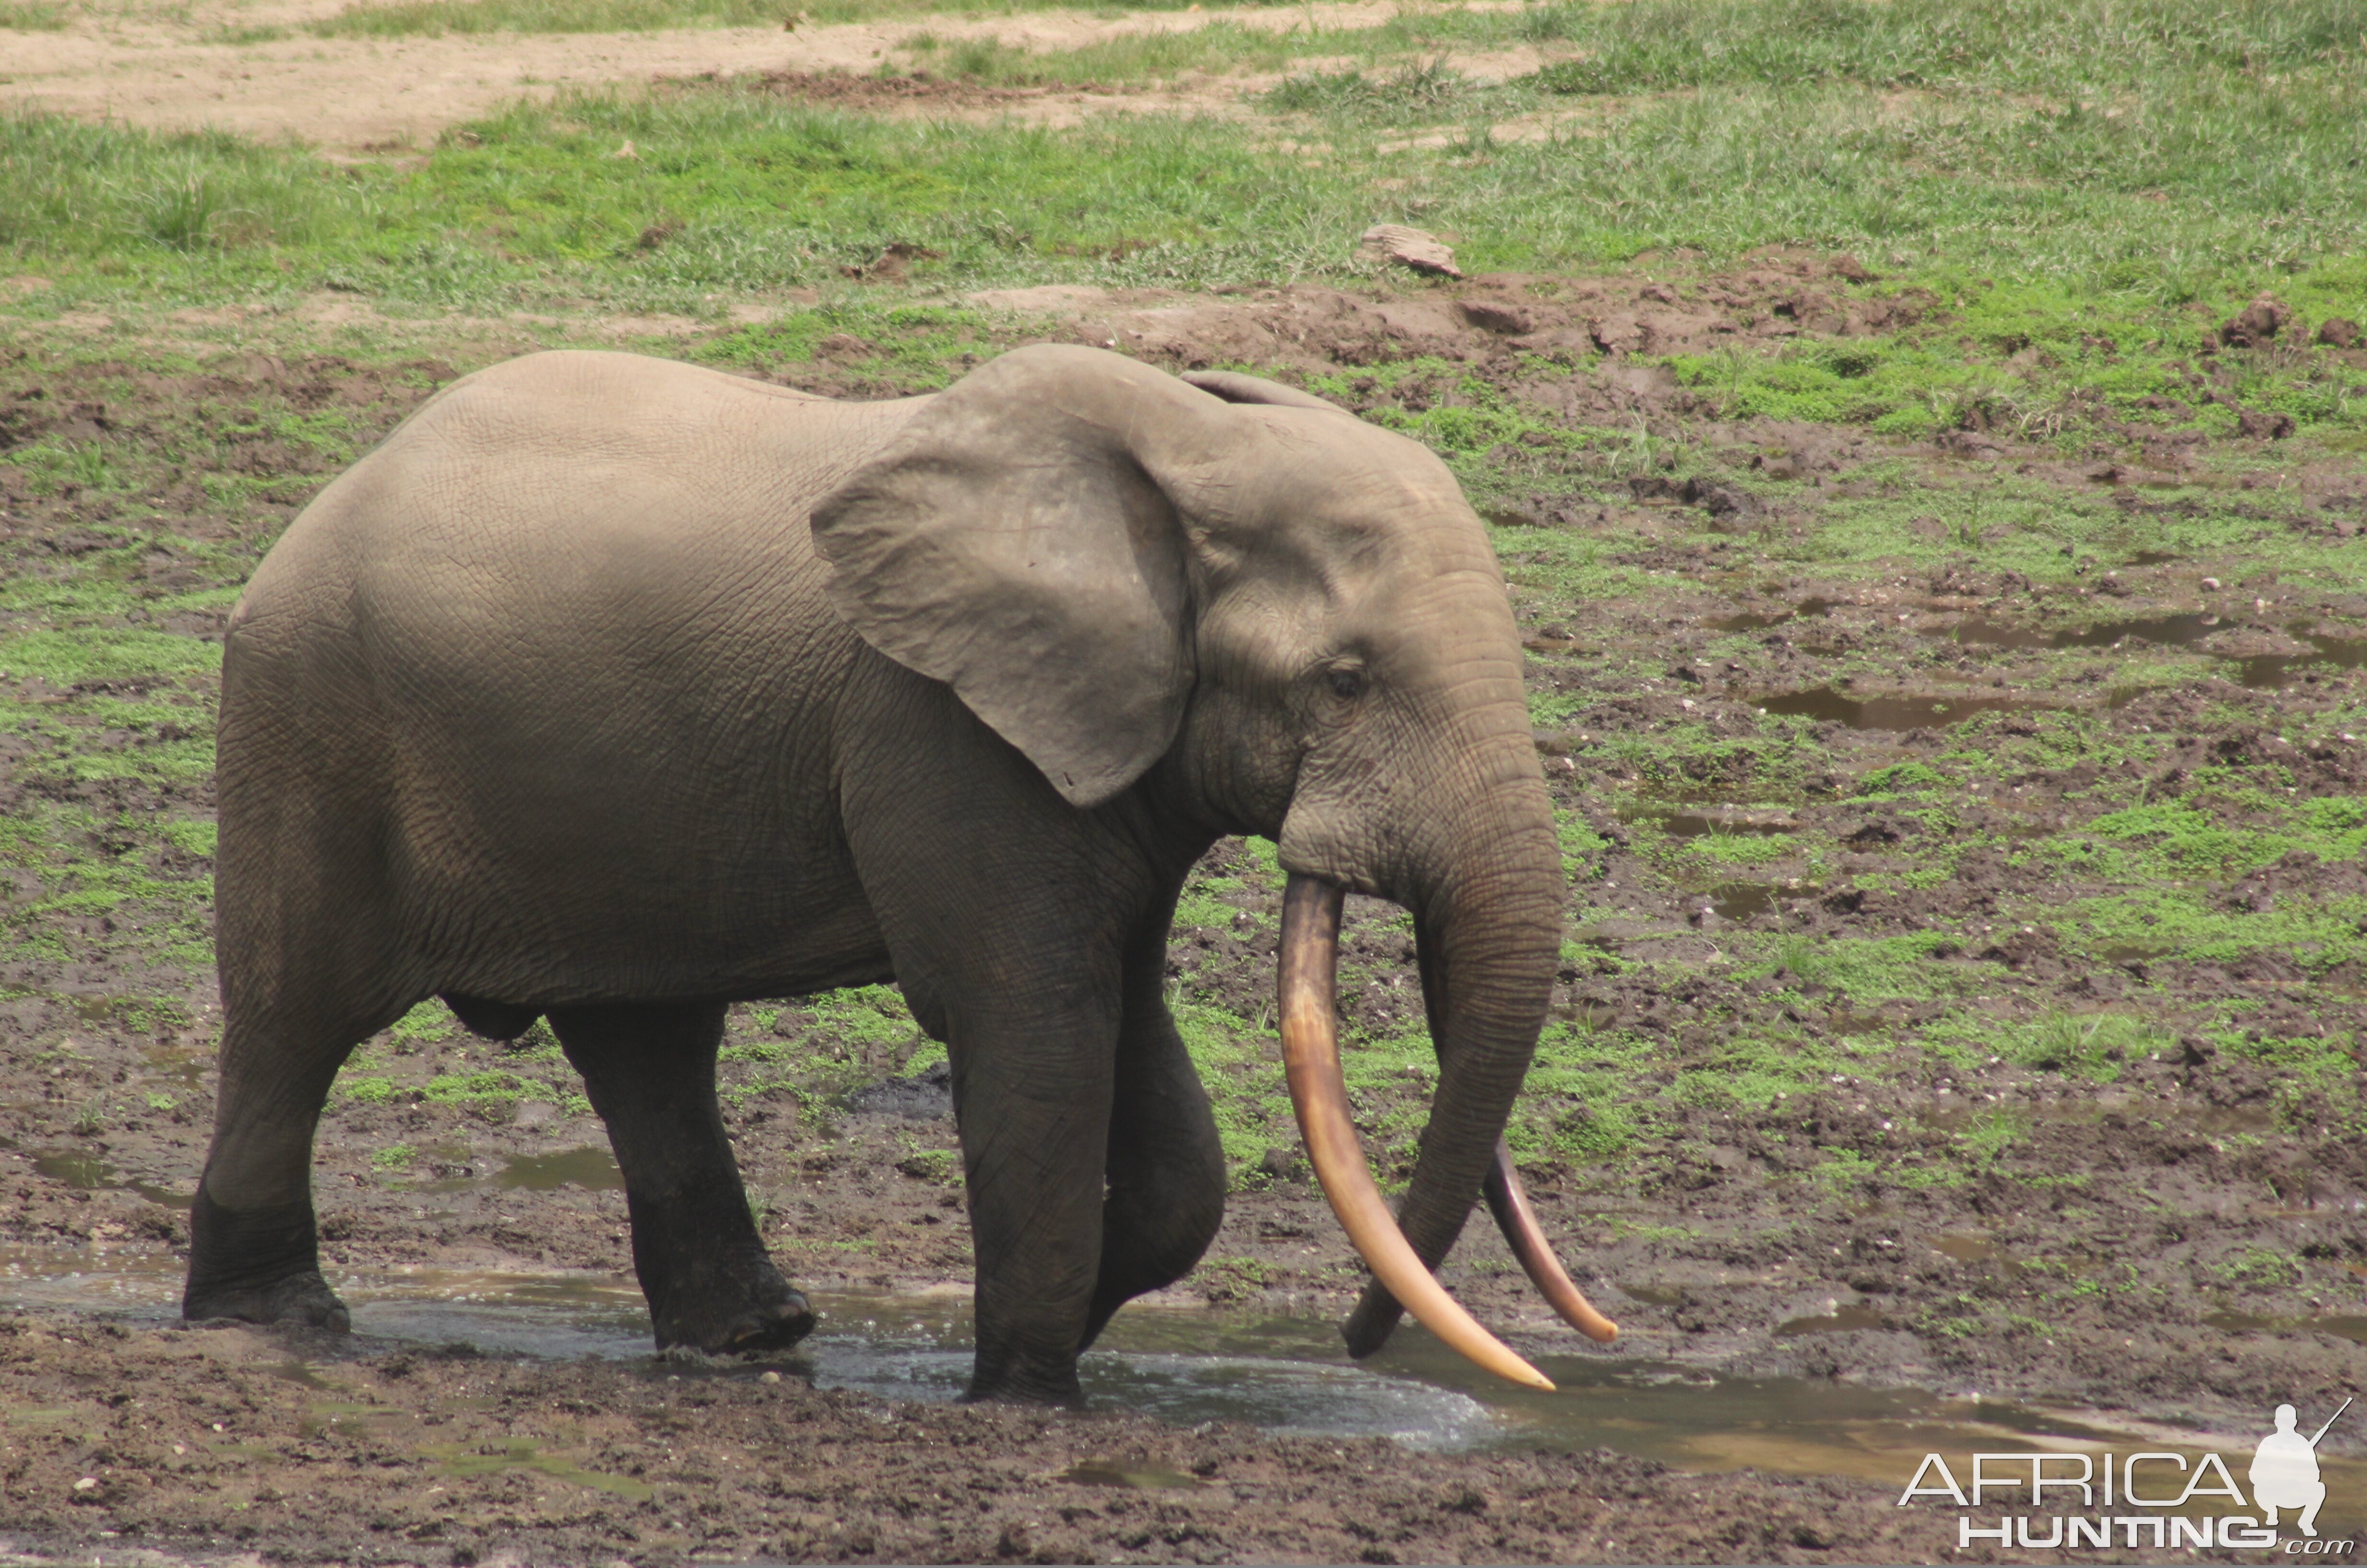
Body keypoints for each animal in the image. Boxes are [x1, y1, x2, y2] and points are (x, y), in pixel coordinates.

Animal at [184, 348, 1619, 1409]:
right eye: (1345, 681)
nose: (1356, 1342)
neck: (1186, 451)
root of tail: (332, 490)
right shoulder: (939, 723)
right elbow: (1034, 1021)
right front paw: (1029, 1392)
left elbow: (1140, 1053)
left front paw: (1066, 1319)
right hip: (311, 717)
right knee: (297, 1019)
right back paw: (278, 1321)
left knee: (646, 1041)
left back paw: (752, 1339)